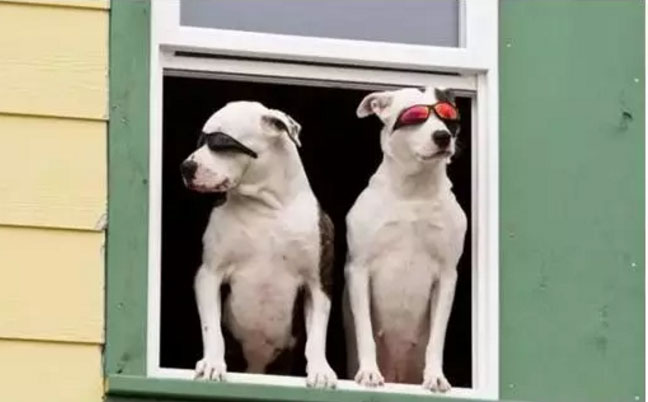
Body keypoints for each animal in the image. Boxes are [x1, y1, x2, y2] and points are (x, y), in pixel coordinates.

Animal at [180, 101, 337, 388]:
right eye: (201, 140)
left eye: (221, 142)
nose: (186, 166)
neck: (266, 207)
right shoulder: (209, 275)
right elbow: (212, 329)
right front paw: (212, 363)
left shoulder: (318, 284)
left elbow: (317, 337)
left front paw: (321, 369)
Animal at [343, 87, 467, 392]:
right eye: (414, 116)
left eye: (448, 115)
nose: (442, 136)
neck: (415, 189)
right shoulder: (358, 270)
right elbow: (365, 330)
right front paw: (369, 372)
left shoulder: (447, 276)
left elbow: (437, 338)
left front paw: (435, 376)